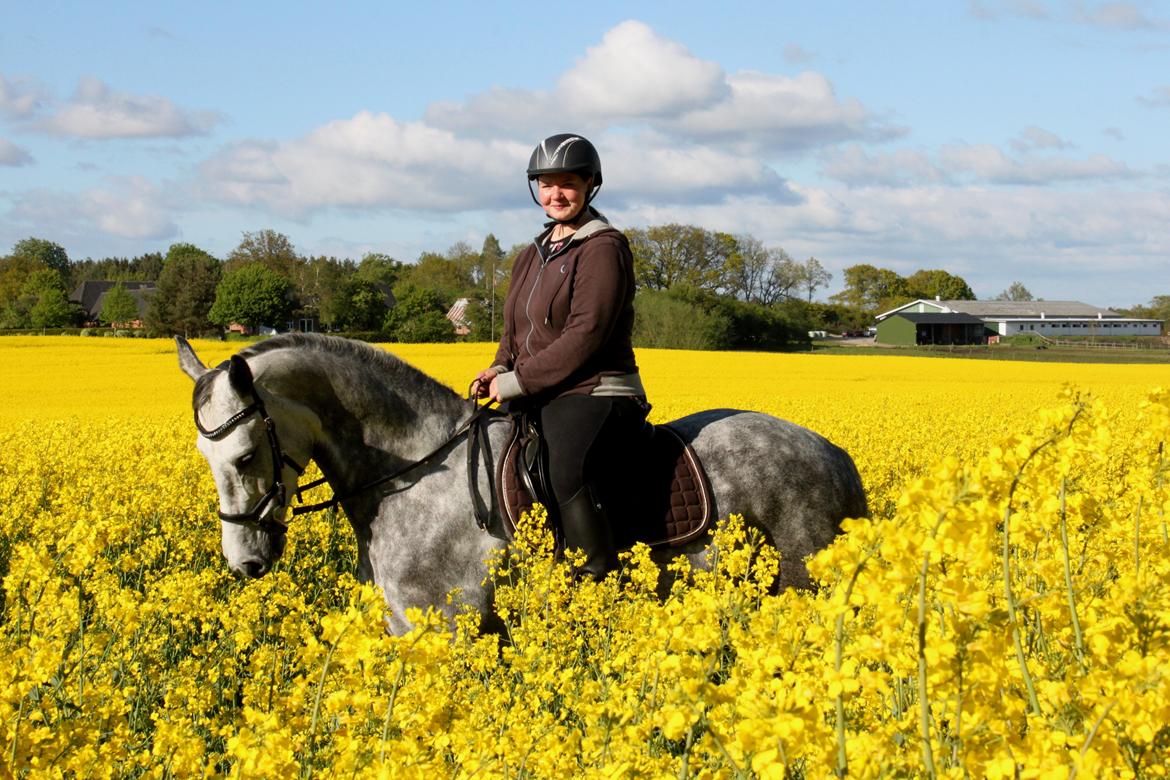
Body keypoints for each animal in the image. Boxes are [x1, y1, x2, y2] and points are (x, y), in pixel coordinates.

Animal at [175, 334, 870, 636]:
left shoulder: (450, 628)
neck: (415, 473)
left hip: (803, 586)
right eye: (205, 458)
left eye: (243, 455)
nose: (244, 564)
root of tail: (832, 453)